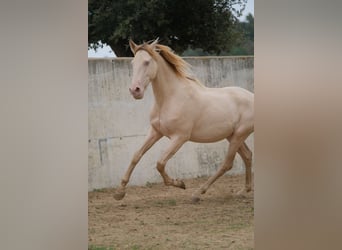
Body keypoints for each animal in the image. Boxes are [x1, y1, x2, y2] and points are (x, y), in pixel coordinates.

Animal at [113, 39, 252, 203]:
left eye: (147, 62)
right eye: (133, 63)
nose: (135, 90)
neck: (170, 98)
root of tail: (252, 96)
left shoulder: (180, 137)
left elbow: (160, 163)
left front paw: (179, 183)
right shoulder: (155, 132)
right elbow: (136, 156)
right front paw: (119, 192)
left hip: (239, 135)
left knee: (227, 163)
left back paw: (198, 193)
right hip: (232, 136)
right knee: (247, 156)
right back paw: (243, 191)